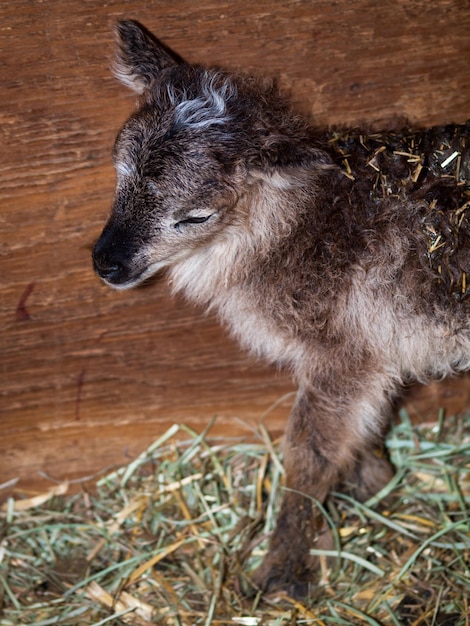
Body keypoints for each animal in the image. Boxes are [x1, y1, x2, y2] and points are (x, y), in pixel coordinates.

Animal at [93, 19, 470, 596]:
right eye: (119, 172)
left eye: (196, 216)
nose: (106, 263)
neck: (306, 224)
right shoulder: (371, 353)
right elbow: (361, 423)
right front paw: (373, 480)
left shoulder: (344, 350)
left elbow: (308, 452)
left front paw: (280, 569)